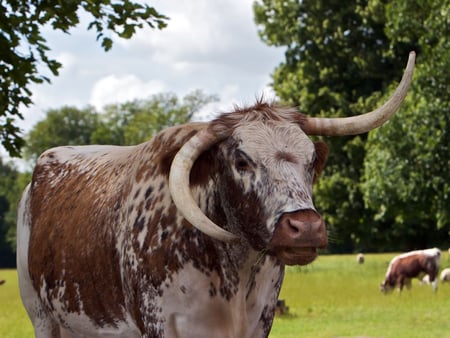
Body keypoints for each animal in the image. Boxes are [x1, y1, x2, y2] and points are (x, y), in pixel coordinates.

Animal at [15, 53, 414, 338]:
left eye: (312, 159)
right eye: (241, 161)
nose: (305, 227)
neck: (233, 273)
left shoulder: (259, 323)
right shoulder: (162, 325)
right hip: (41, 315)